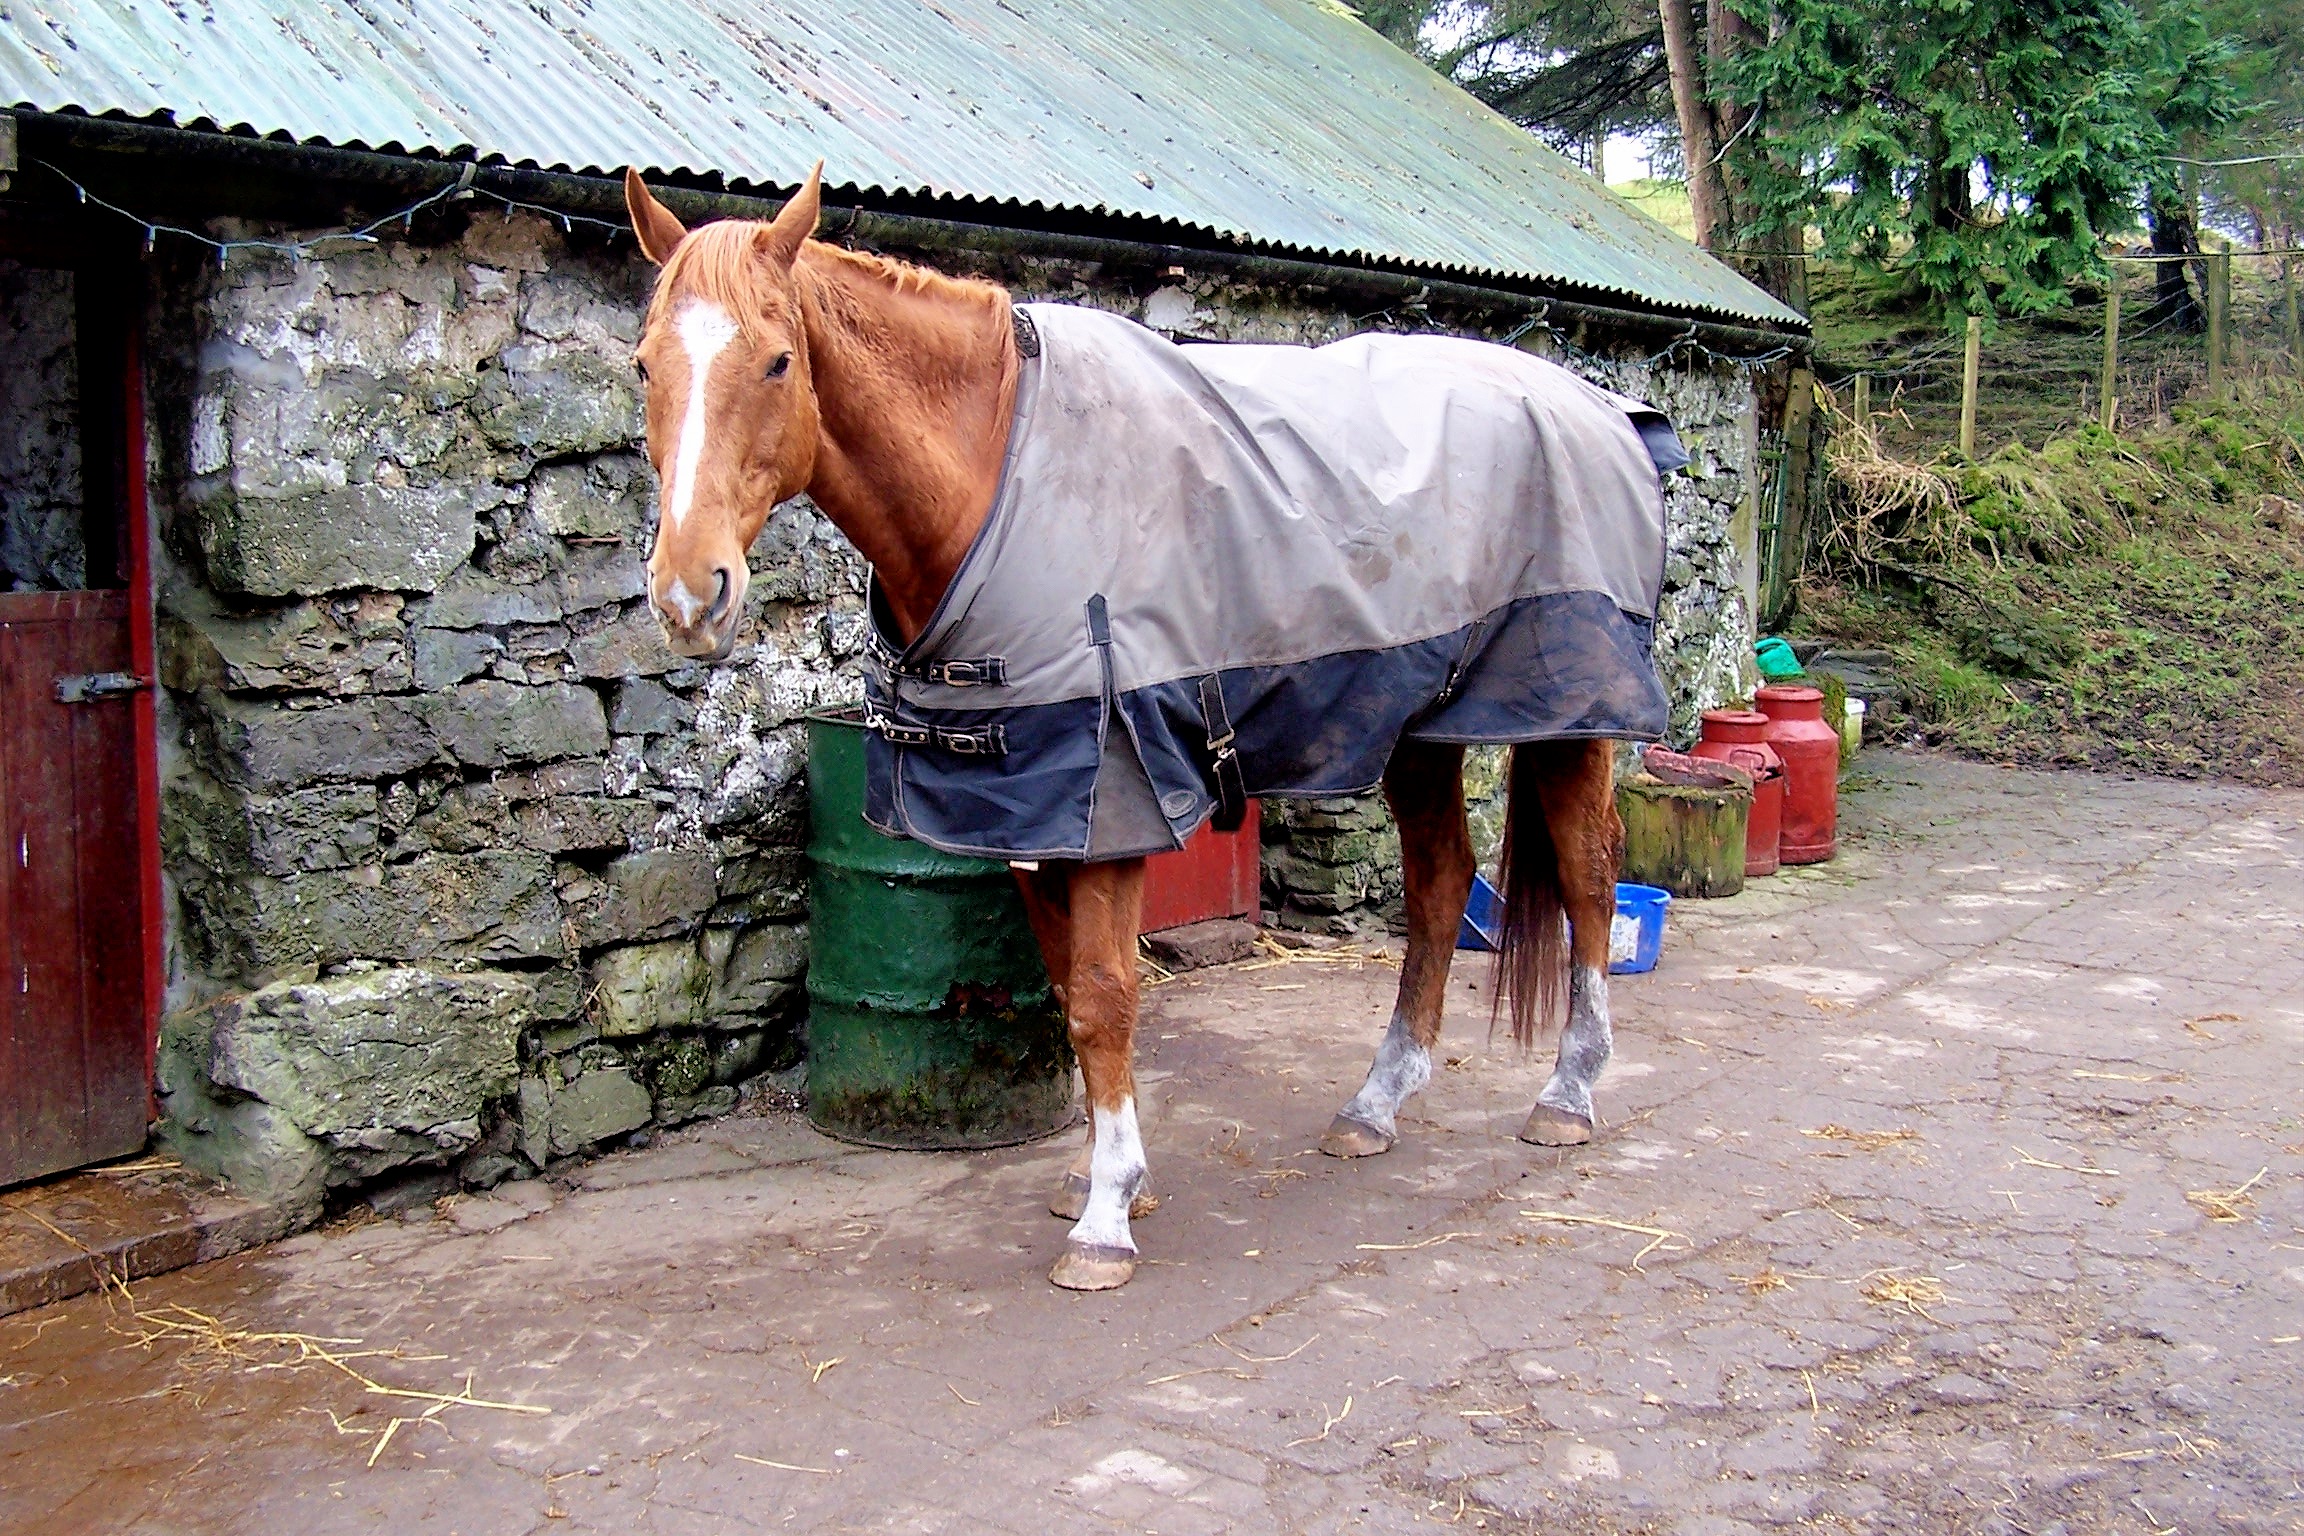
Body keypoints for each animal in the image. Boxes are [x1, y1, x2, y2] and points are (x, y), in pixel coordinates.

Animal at [623, 165, 1671, 1291]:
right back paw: (1376, 1105)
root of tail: (1607, 411)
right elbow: (1068, 993)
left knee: (1588, 871)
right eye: (643, 365)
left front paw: (1105, 1219)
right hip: (1415, 728)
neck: (997, 474)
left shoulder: (1111, 796)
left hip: (1569, 713)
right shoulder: (1028, 811)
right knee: (1439, 886)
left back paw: (1568, 1094)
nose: (688, 594)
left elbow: (1102, 996)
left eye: (778, 360)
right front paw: (1100, 1180)